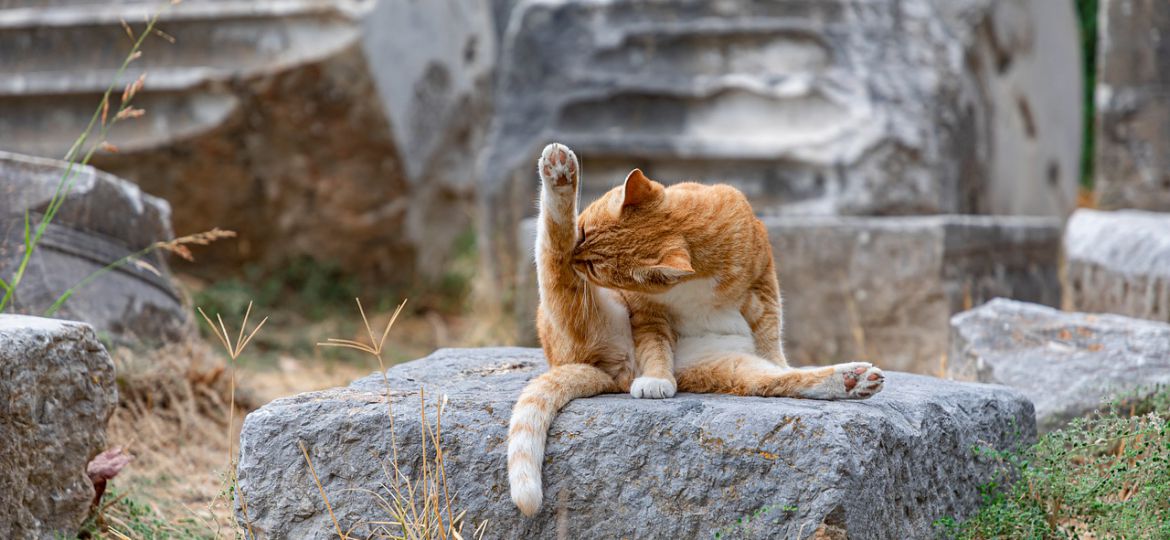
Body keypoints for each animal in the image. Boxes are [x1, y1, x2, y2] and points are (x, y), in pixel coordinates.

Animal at [507, 142, 879, 514]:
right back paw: (560, 174)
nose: (576, 256)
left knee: (779, 380)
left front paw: (780, 357)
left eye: (595, 268)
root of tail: (613, 375)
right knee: (554, 255)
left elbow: (770, 333)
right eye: (582, 232)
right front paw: (656, 379)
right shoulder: (647, 310)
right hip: (582, 314)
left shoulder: (763, 284)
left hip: (727, 366)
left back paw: (851, 380)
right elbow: (655, 345)